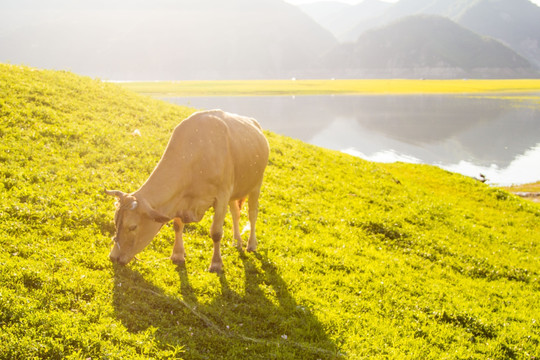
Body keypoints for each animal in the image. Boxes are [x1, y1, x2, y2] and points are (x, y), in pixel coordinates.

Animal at [105, 109, 270, 272]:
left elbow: (216, 232)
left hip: (257, 184)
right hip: (236, 190)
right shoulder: (180, 198)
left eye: (132, 227)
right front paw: (178, 255)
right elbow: (178, 226)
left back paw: (251, 244)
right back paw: (237, 241)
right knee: (235, 213)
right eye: (115, 221)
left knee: (252, 214)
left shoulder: (222, 196)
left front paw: (216, 263)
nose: (113, 257)